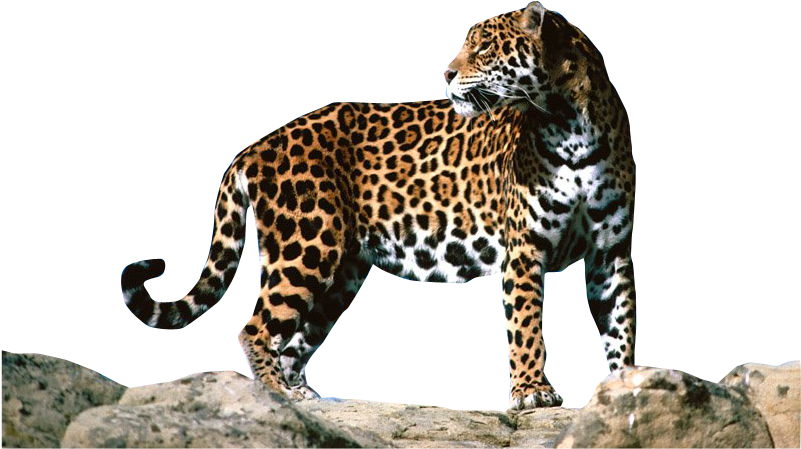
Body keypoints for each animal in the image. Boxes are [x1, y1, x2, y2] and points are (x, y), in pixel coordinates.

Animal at [120, 2, 635, 410]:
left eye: (485, 47)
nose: (446, 74)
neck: (569, 123)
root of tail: (255, 146)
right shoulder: (525, 248)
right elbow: (527, 324)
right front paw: (532, 393)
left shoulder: (611, 251)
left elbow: (621, 323)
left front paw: (629, 388)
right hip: (306, 245)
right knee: (256, 327)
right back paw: (276, 396)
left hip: (342, 272)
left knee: (295, 337)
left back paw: (305, 395)